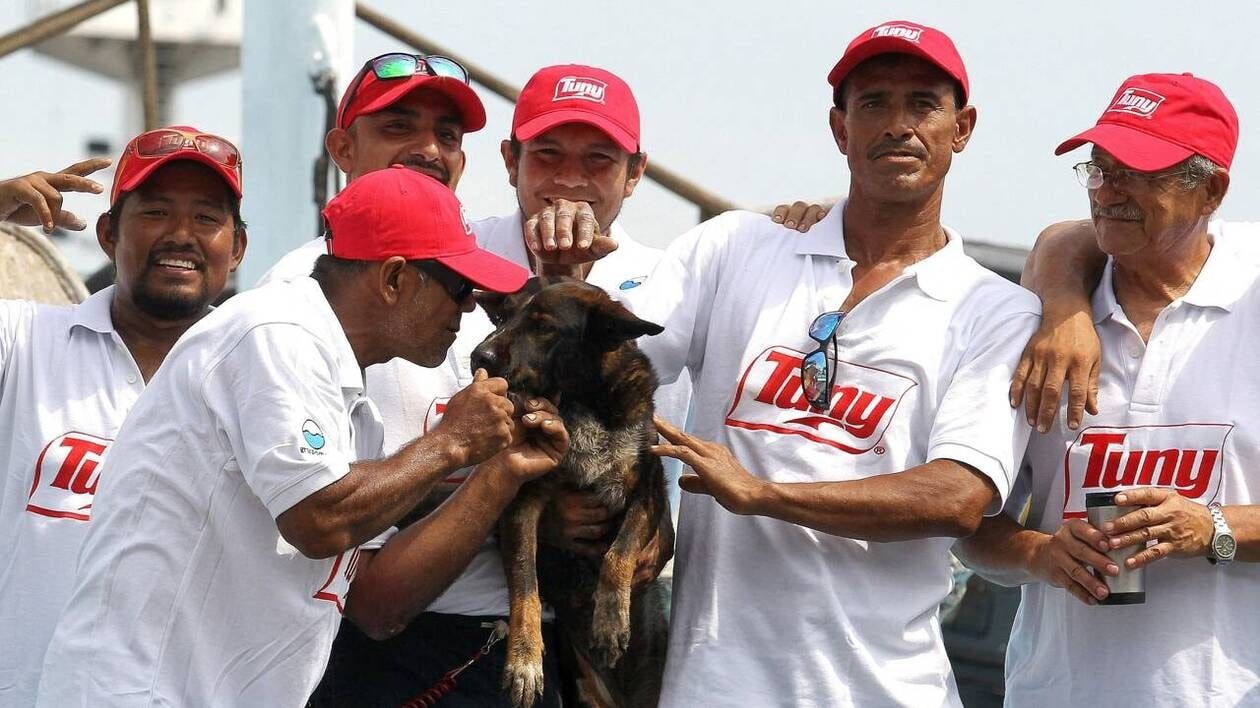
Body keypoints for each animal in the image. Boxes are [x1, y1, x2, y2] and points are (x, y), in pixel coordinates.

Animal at [473, 275, 670, 705]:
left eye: (543, 326)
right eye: (502, 318)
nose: (480, 355)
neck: (581, 400)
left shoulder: (649, 493)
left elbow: (619, 552)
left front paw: (610, 621)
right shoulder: (521, 504)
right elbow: (525, 585)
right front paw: (524, 660)